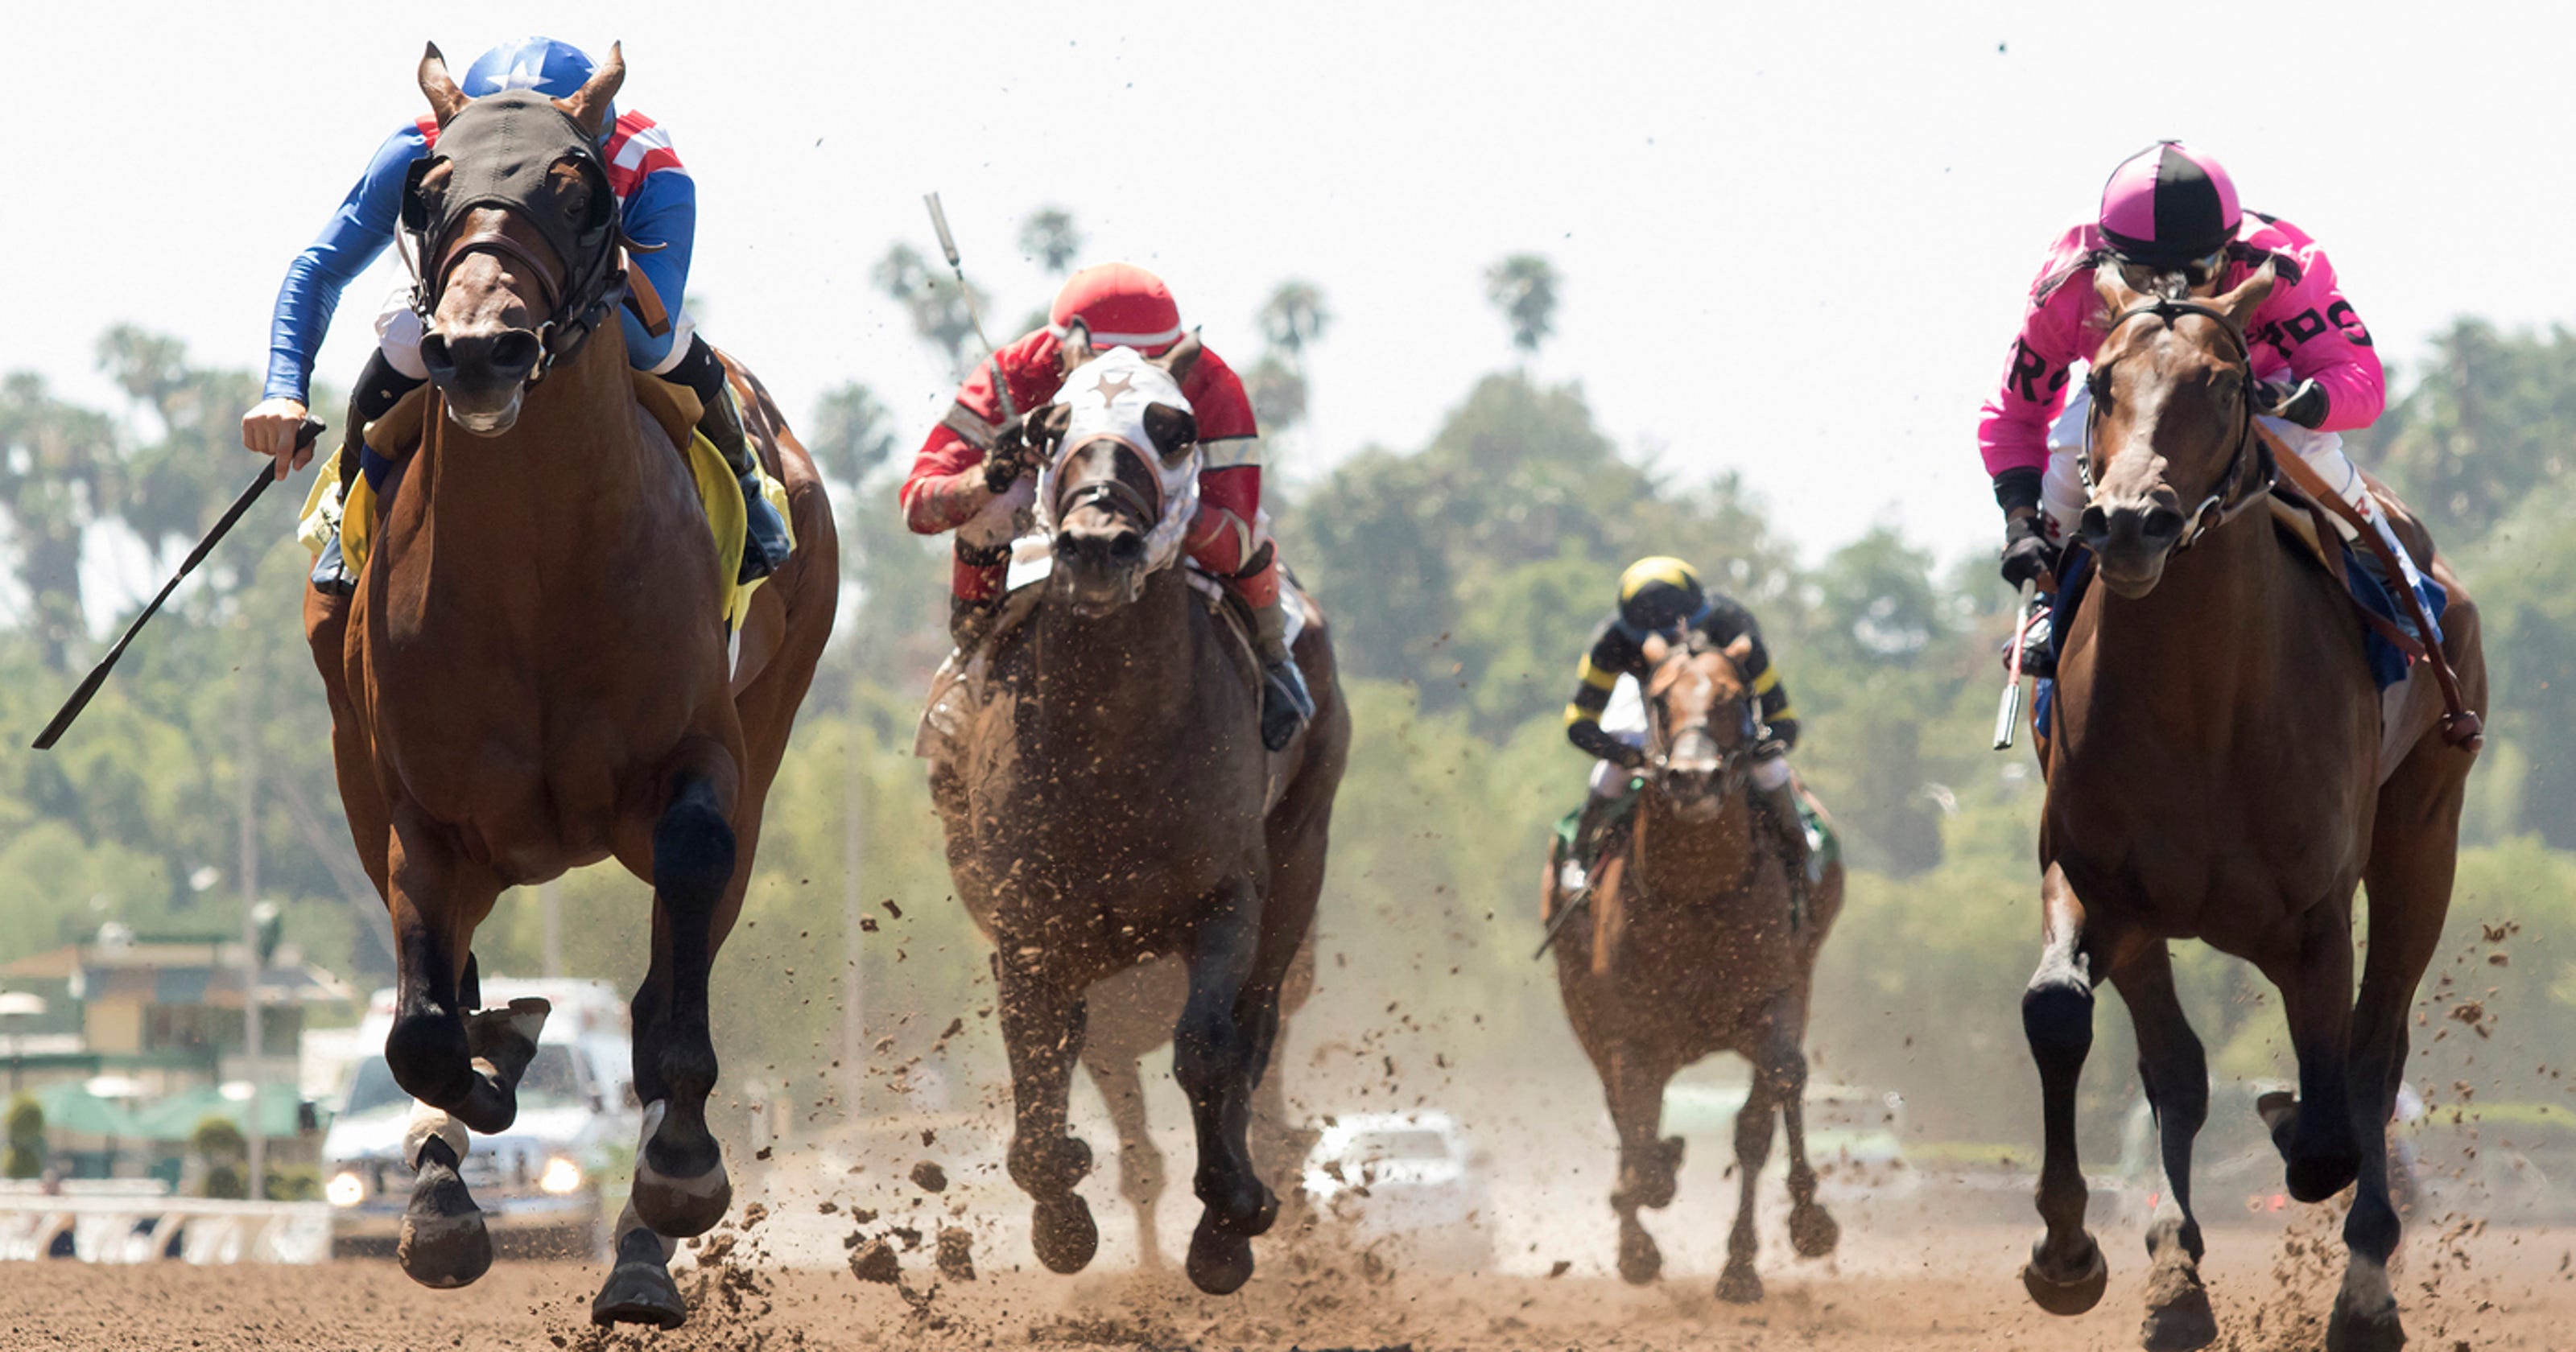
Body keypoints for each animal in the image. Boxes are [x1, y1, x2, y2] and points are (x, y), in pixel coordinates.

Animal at [299, 46, 836, 1329]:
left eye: (581, 188)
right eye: (426, 192)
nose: (477, 349)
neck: (536, 572)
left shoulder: (700, 769)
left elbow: (665, 998)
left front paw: (679, 1171)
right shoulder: (422, 812)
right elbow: (422, 1032)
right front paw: (464, 1142)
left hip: (766, 738)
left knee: (659, 988)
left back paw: (642, 1252)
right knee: (450, 986)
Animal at [936, 338, 1348, 1294]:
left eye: (1175, 429)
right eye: (1051, 427)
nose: (1096, 546)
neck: (1111, 747)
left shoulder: (1227, 900)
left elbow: (1209, 1044)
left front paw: (1229, 1222)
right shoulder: (1032, 929)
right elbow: (1040, 1054)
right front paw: (1060, 1216)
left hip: (1301, 854)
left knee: (1257, 1027)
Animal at [1542, 630, 1847, 1303]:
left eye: (1734, 697)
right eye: (1659, 698)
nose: (1693, 779)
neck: (1698, 894)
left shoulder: (1775, 1000)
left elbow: (1762, 1116)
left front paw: (1747, 1264)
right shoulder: (1629, 1031)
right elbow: (1635, 1123)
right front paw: (1642, 1224)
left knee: (1783, 1089)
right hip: (1585, 1009)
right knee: (1626, 1113)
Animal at [2014, 267, 2485, 1352]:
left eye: (2226, 385)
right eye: (2097, 382)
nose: (2128, 522)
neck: (2198, 710)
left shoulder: (2313, 917)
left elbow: (2332, 1110)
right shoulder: (2095, 883)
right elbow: (2063, 1014)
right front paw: (2071, 1253)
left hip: (2423, 835)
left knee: (2371, 1057)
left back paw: (2362, 1295)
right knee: (2178, 1071)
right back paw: (2175, 1279)